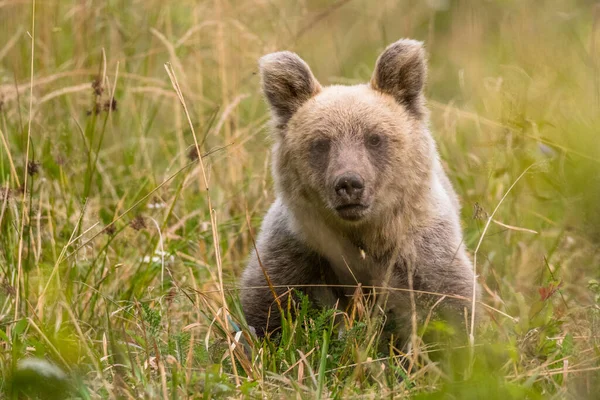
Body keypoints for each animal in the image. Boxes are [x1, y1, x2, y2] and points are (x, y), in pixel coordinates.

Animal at [241, 38, 476, 344]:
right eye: (320, 142)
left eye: (374, 138)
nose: (349, 183)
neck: (363, 235)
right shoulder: (297, 252)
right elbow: (268, 307)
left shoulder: (421, 251)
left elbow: (448, 304)